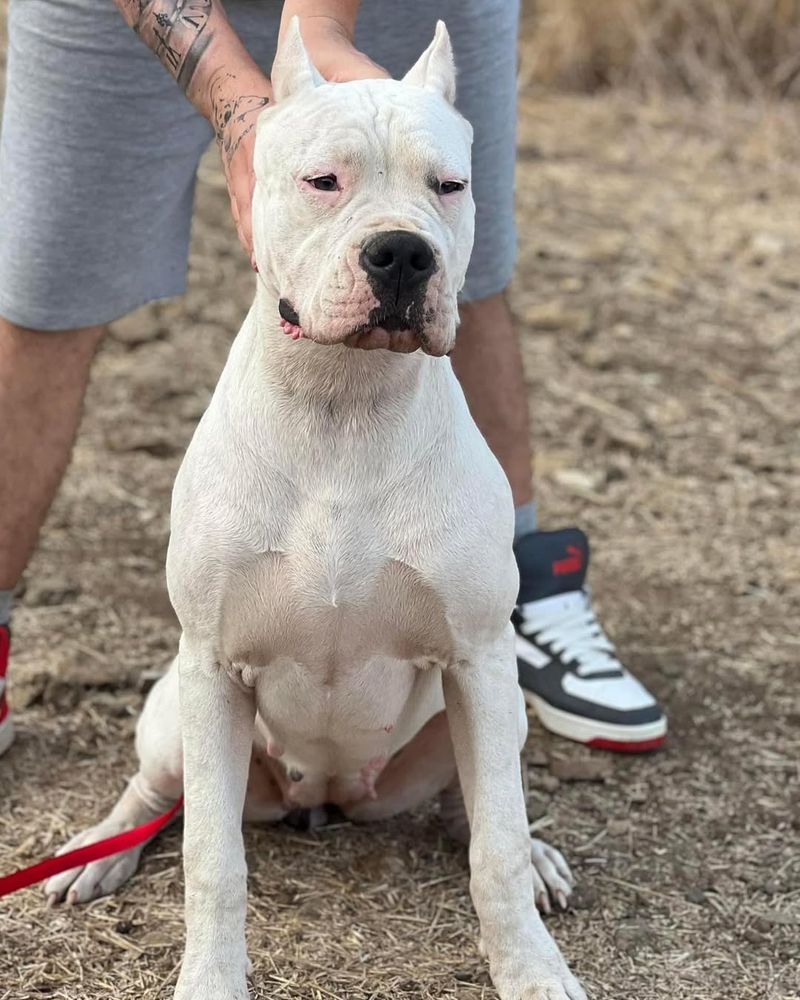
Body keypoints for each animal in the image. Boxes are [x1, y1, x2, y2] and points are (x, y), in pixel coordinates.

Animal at [48, 21, 588, 1000]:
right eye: (322, 180)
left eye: (450, 186)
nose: (403, 253)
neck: (345, 398)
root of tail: (327, 796)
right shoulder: (212, 669)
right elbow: (211, 861)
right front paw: (210, 979)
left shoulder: (480, 659)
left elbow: (491, 845)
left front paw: (529, 965)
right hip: (172, 715)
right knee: (157, 796)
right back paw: (101, 850)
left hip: (485, 716)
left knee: (477, 803)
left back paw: (533, 854)